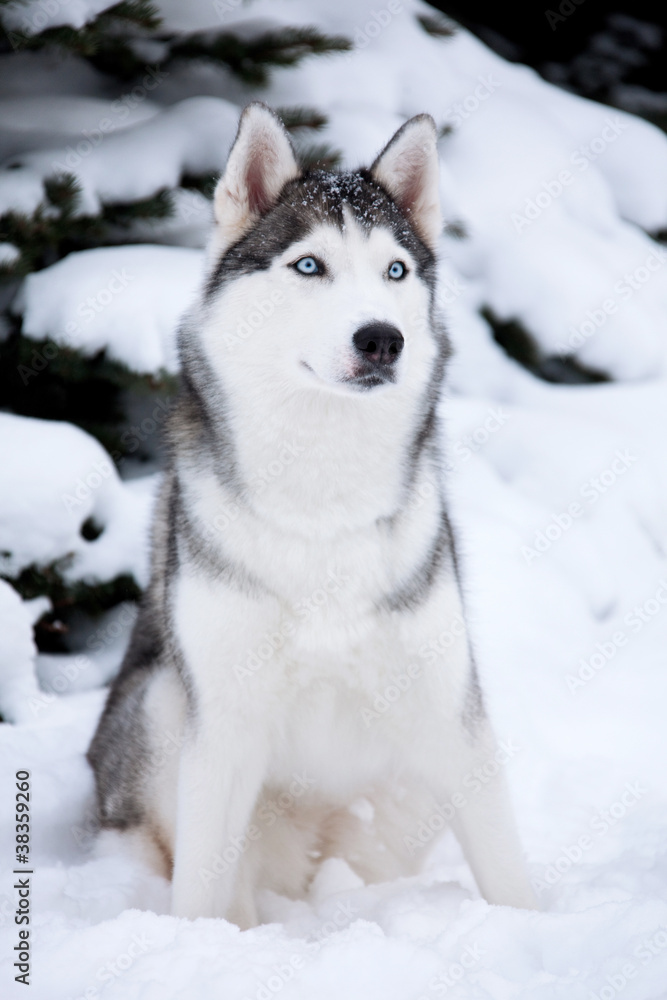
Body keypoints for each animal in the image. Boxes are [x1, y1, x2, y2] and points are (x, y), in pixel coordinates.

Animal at [88, 105, 536, 924]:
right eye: (308, 267)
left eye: (395, 271)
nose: (381, 338)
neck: (323, 504)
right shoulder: (222, 725)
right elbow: (196, 893)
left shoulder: (452, 717)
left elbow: (509, 878)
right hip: (165, 705)